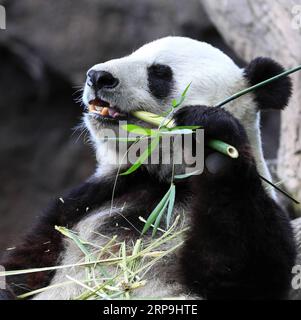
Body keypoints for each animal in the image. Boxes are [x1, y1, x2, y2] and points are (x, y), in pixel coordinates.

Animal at [0, 37, 296, 300]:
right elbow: (25, 265)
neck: (166, 177)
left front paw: (213, 135)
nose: (98, 76)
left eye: (159, 73)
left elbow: (245, 268)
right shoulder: (89, 198)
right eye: (132, 54)